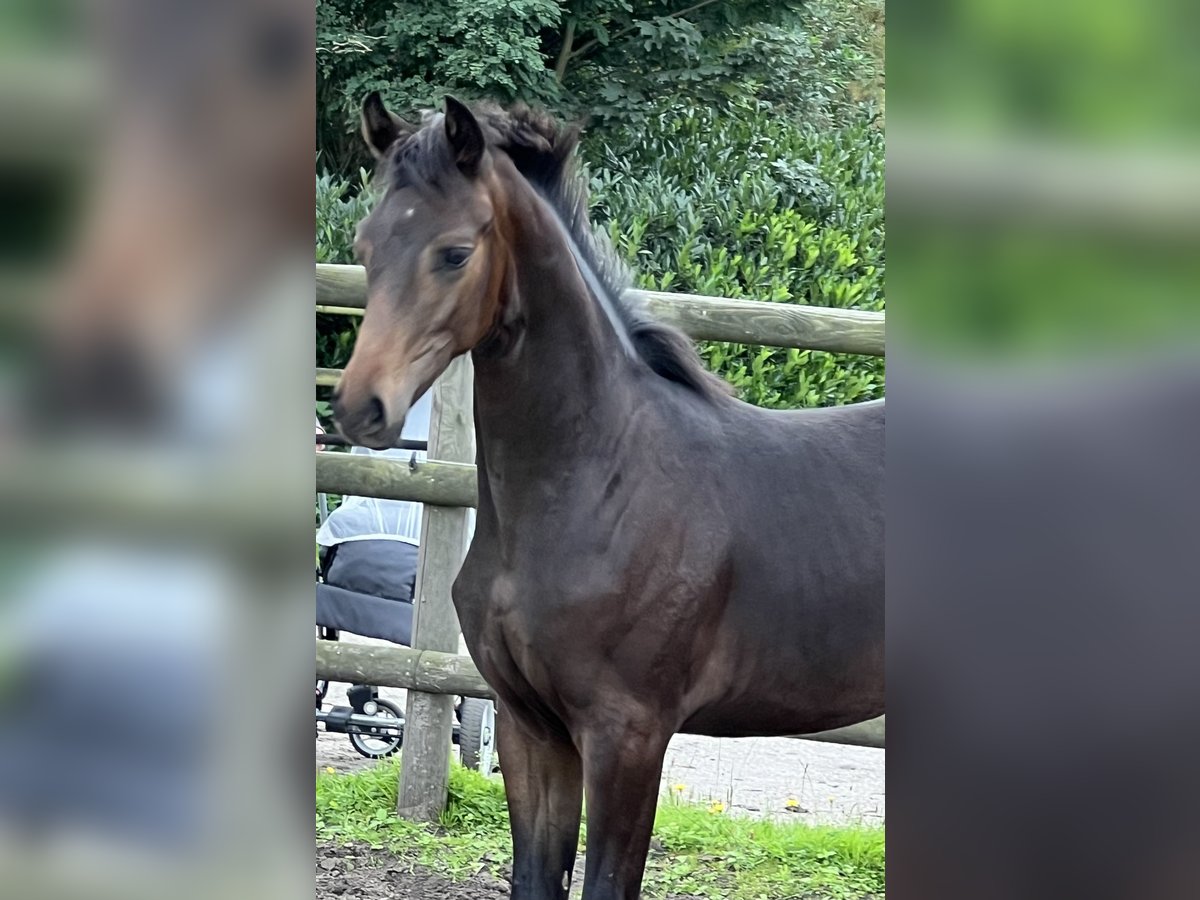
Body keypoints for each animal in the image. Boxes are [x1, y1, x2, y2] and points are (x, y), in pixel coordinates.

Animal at [333, 97, 888, 900]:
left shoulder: (628, 735)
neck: (600, 481)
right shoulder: (531, 728)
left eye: (454, 252)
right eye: (365, 244)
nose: (359, 407)